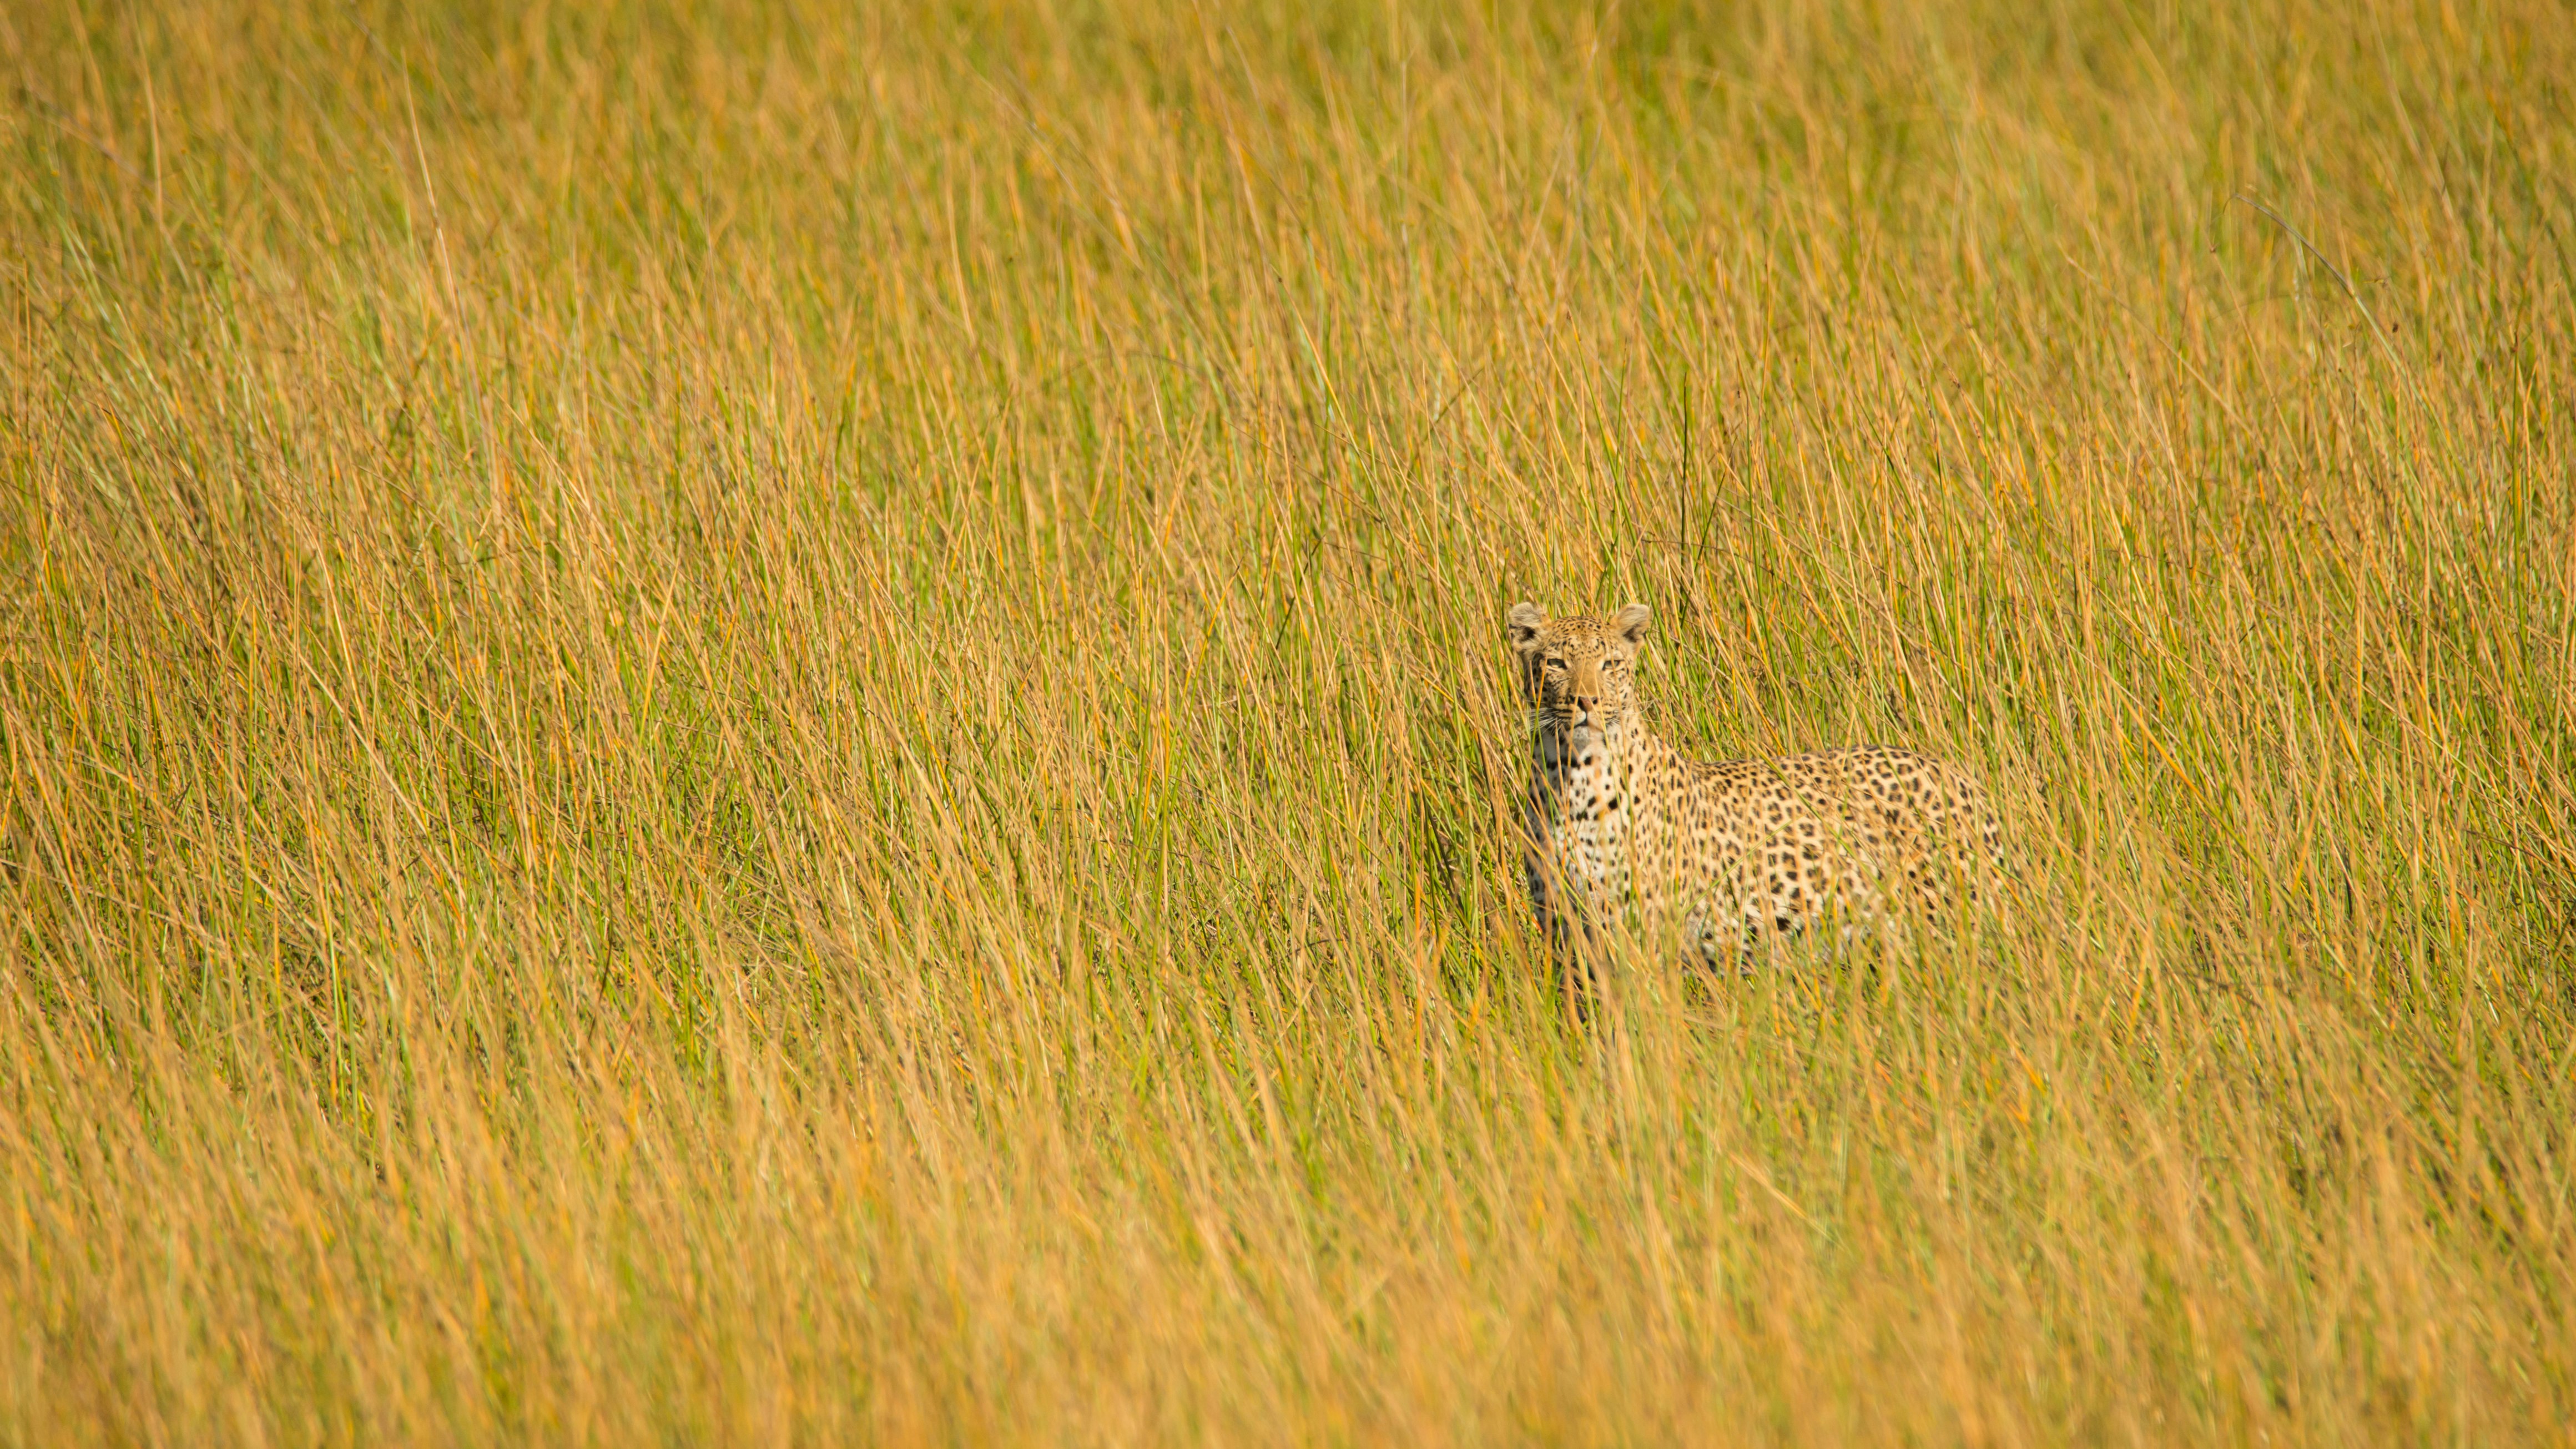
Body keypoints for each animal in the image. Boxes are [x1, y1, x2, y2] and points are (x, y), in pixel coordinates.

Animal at [1504, 602, 2009, 973]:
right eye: (1555, 663)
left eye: (1610, 664)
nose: (1586, 701)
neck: (1569, 773)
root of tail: (1958, 775)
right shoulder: (1564, 935)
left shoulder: (1640, 936)